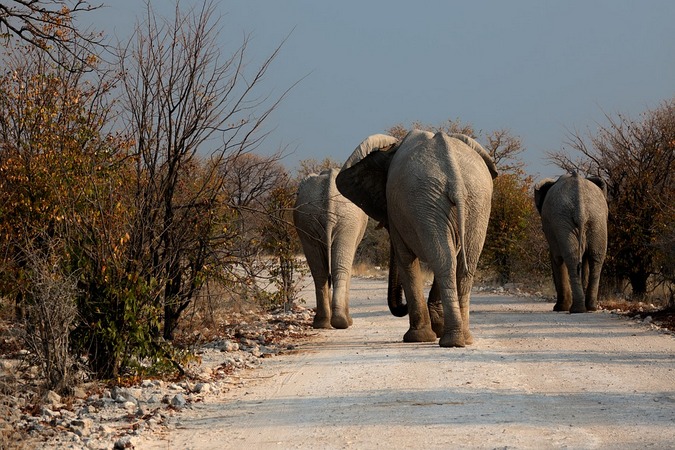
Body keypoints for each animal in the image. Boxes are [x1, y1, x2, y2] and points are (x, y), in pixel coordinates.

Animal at [294, 132, 398, 328]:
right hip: (344, 220)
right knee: (340, 267)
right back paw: (342, 322)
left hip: (310, 220)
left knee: (319, 270)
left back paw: (323, 323)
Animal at [336, 130, 500, 348]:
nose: (402, 306)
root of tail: (455, 178)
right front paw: (433, 330)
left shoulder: (398, 215)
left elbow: (405, 259)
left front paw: (418, 337)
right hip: (469, 202)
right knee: (459, 264)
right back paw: (462, 339)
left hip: (435, 203)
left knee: (445, 261)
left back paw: (451, 340)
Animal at [536, 172, 608, 312]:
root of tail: (581, 209)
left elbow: (556, 258)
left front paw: (559, 308)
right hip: (596, 220)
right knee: (595, 257)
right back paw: (589, 308)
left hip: (569, 221)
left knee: (573, 259)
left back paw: (576, 309)